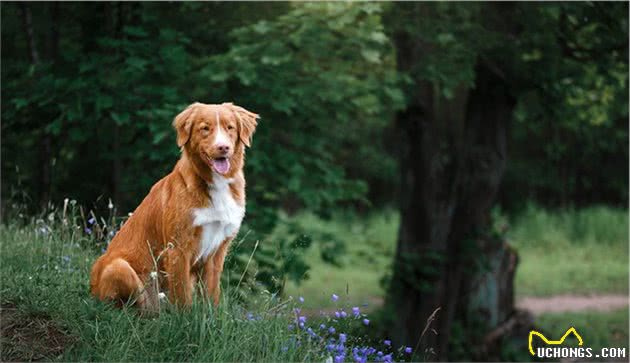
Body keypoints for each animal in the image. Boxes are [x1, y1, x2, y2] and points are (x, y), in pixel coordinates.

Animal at [89, 101, 260, 312]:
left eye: (230, 128)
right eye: (205, 128)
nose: (223, 147)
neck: (215, 183)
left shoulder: (217, 250)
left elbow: (211, 293)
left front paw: (210, 315)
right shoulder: (178, 248)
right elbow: (182, 294)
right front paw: (184, 318)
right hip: (119, 267)